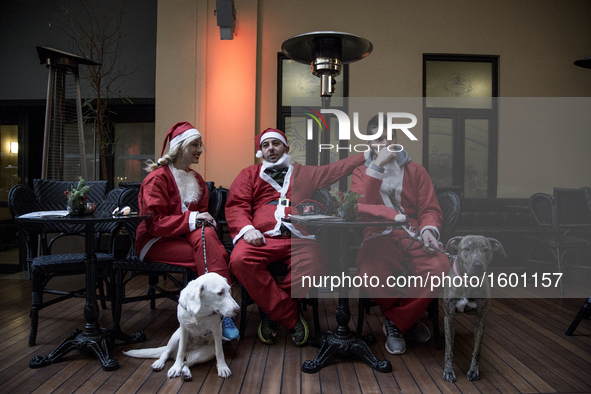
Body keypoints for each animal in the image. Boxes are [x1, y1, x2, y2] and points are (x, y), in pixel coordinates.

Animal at [442, 234, 506, 382]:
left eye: (486, 250)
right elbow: (448, 349)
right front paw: (449, 370)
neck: (469, 282)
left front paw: (474, 370)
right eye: (467, 249)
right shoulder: (449, 317)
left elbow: (477, 350)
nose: (478, 265)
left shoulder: (481, 320)